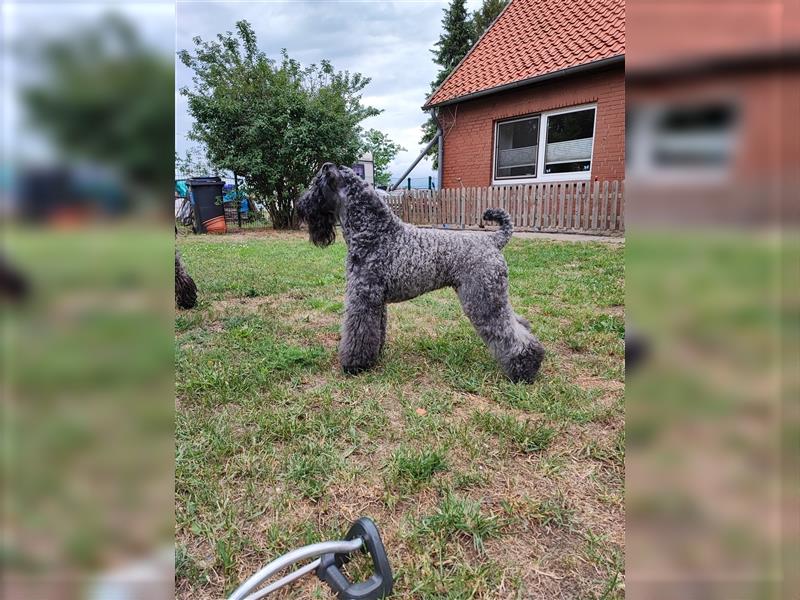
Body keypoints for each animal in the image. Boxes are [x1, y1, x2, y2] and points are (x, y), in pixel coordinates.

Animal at [296, 162, 548, 382]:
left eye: (315, 184)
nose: (300, 206)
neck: (375, 231)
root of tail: (494, 240)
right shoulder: (376, 299)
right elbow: (376, 330)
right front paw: (375, 356)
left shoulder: (362, 297)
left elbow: (357, 332)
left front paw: (354, 365)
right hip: (493, 296)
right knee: (518, 324)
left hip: (483, 299)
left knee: (509, 333)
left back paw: (525, 368)